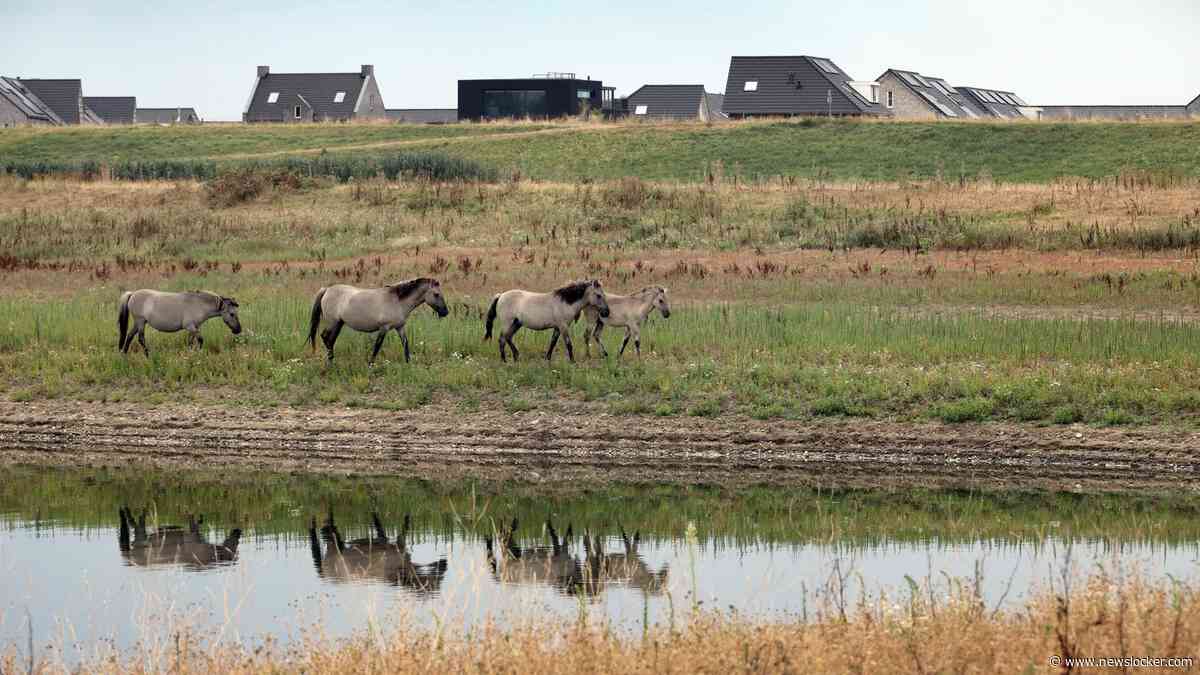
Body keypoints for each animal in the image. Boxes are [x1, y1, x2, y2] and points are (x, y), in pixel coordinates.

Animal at [306, 277, 448, 364]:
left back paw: (331, 361)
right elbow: (377, 346)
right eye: (436, 294)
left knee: (330, 339)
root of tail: (327, 289)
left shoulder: (400, 327)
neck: (397, 301)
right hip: (333, 322)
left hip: (339, 324)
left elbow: (406, 344)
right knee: (325, 337)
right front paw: (370, 364)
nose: (445, 312)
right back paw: (331, 360)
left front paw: (409, 362)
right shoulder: (384, 328)